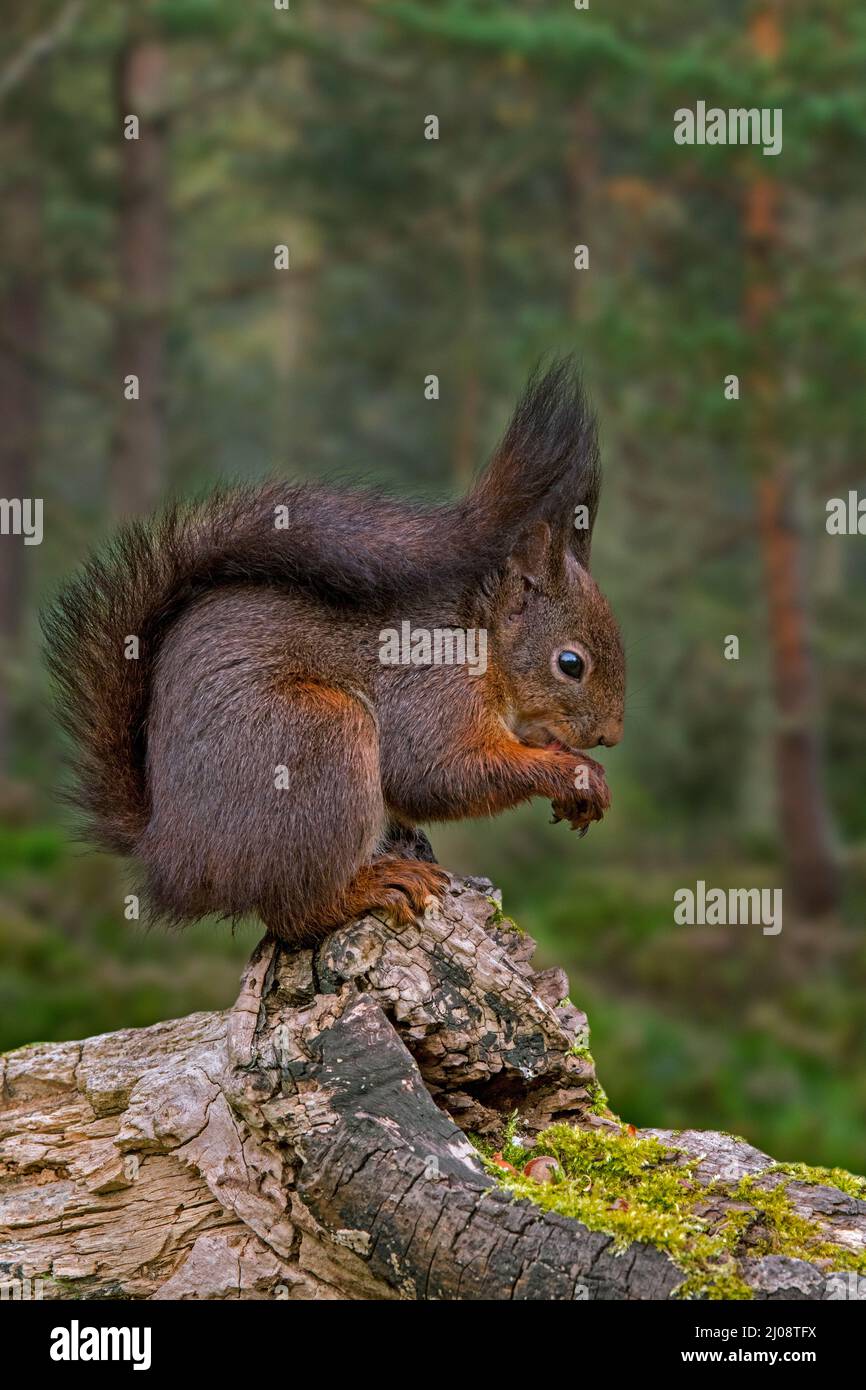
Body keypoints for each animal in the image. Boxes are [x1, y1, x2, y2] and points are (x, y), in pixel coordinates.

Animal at [44, 358, 622, 945]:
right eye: (570, 664)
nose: (610, 736)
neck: (480, 636)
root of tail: (170, 857)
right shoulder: (431, 685)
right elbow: (438, 773)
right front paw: (571, 772)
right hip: (316, 738)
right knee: (296, 910)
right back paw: (372, 886)